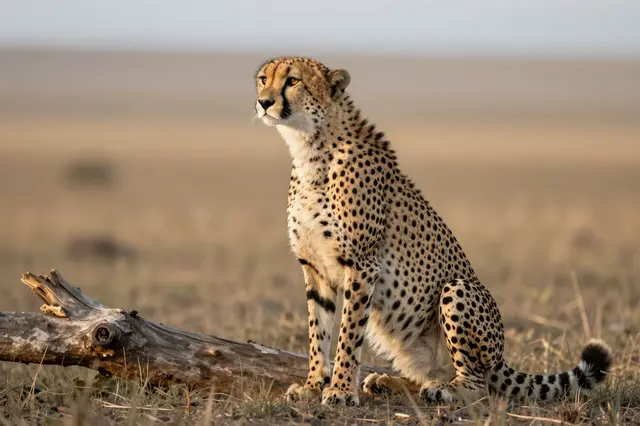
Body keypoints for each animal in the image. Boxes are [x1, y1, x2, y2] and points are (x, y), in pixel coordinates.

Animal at [253, 56, 613, 407]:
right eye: (263, 79)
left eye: (293, 81)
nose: (264, 102)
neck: (309, 148)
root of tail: (500, 360)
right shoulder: (315, 267)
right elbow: (318, 333)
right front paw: (313, 385)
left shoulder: (362, 265)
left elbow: (348, 335)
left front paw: (340, 389)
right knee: (428, 374)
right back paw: (388, 382)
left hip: (457, 289)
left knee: (478, 386)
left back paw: (448, 390)